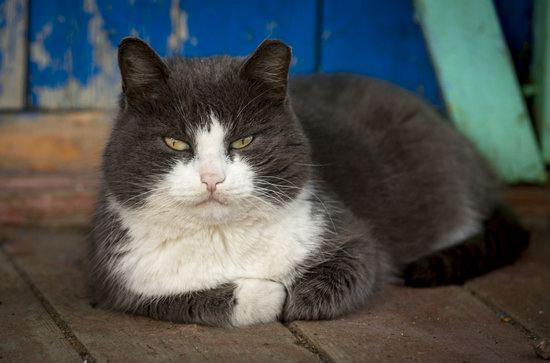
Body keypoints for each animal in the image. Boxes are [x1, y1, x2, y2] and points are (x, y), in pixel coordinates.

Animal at [90, 37, 532, 328]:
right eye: (175, 142)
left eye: (244, 140)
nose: (212, 179)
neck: (223, 237)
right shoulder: (121, 280)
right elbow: (178, 301)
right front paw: (264, 293)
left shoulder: (351, 237)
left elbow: (343, 275)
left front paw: (289, 294)